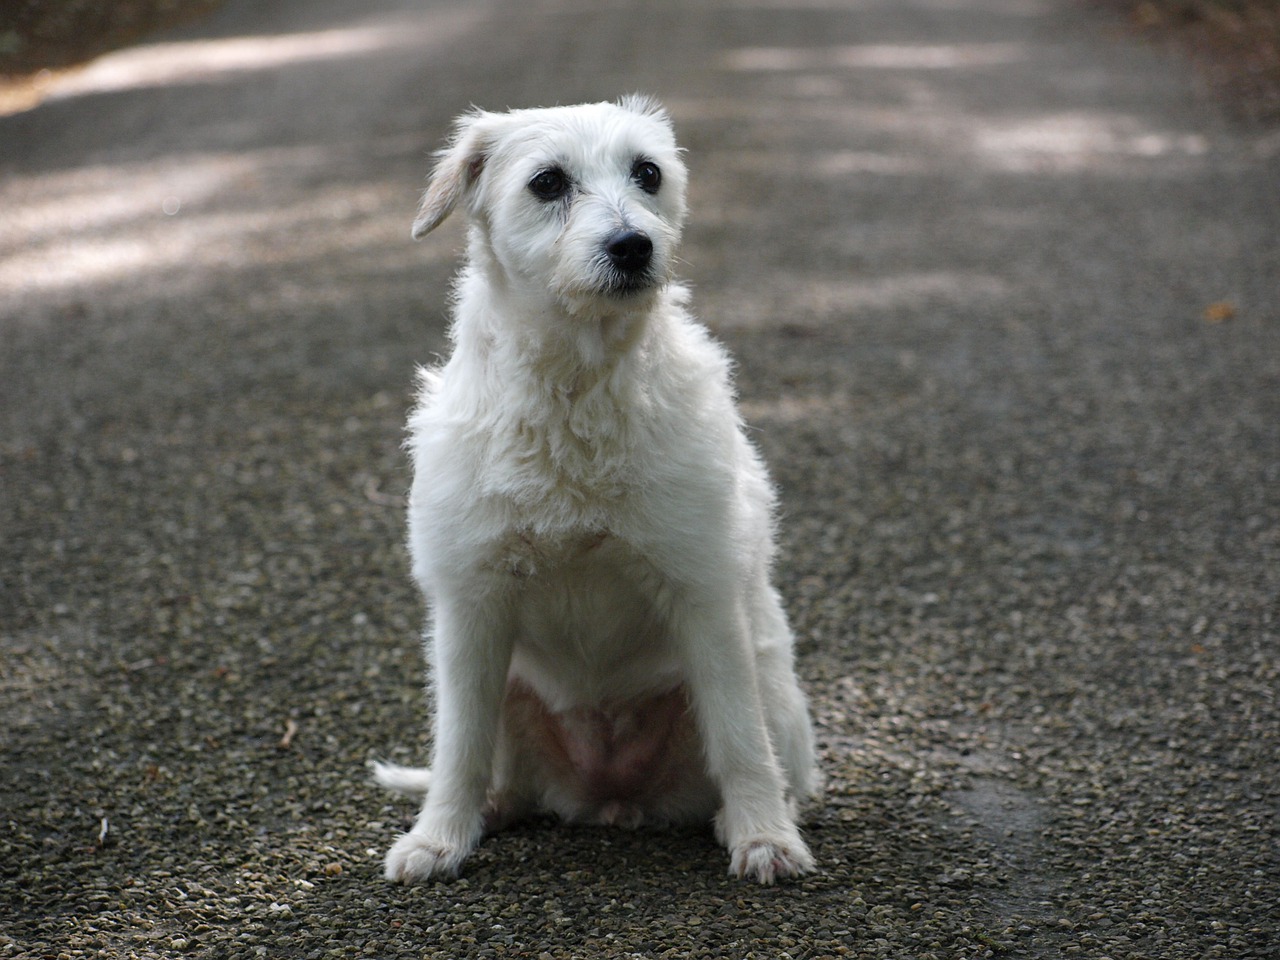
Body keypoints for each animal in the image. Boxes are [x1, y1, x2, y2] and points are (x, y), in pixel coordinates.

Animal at [373, 97, 819, 885]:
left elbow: (740, 737)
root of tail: (608, 796)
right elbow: (458, 747)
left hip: (772, 685)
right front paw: (437, 838)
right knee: (495, 770)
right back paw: (488, 812)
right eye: (548, 182)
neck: (575, 388)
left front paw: (765, 837)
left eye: (649, 173)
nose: (632, 246)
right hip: (508, 689)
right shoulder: (470, 610)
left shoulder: (704, 598)